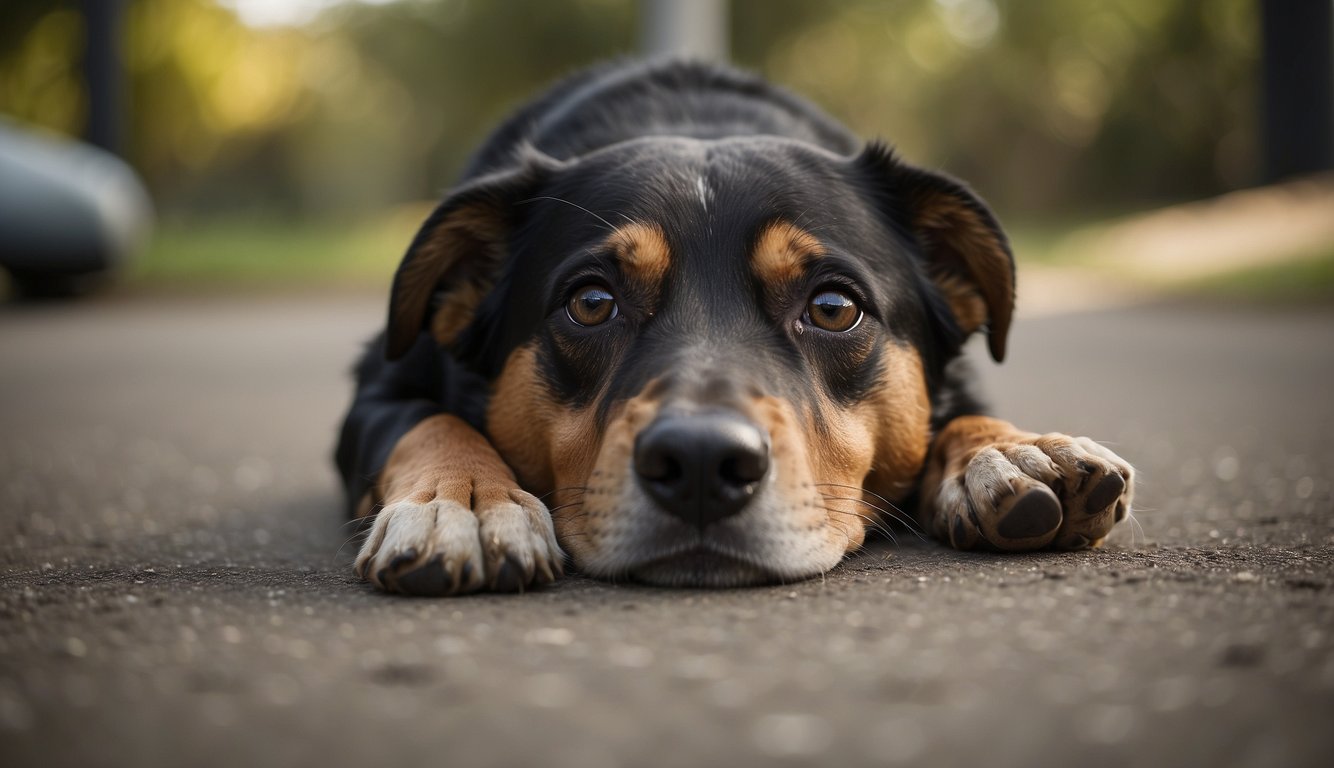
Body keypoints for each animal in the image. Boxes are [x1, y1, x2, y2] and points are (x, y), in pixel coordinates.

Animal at [336, 63, 1136, 597]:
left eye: (834, 308)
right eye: (591, 302)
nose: (699, 463)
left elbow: (964, 414)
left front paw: (1012, 451)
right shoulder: (380, 382)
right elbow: (428, 423)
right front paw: (464, 504)